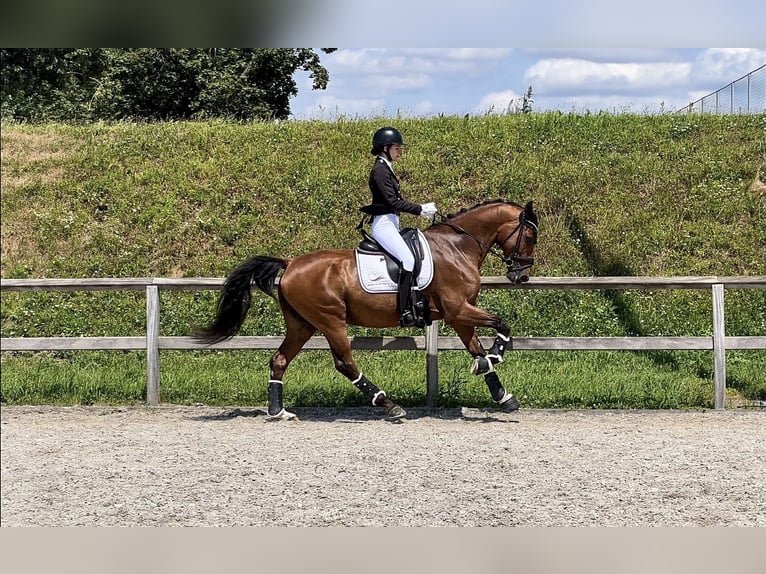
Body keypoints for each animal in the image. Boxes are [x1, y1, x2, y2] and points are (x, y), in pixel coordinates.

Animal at [192, 200, 540, 420]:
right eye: (530, 235)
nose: (521, 276)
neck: (456, 247)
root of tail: (290, 263)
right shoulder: (457, 310)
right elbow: (503, 325)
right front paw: (495, 358)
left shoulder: (459, 315)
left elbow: (477, 348)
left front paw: (502, 394)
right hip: (330, 320)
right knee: (345, 362)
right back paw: (387, 404)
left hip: (302, 324)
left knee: (279, 360)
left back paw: (279, 412)